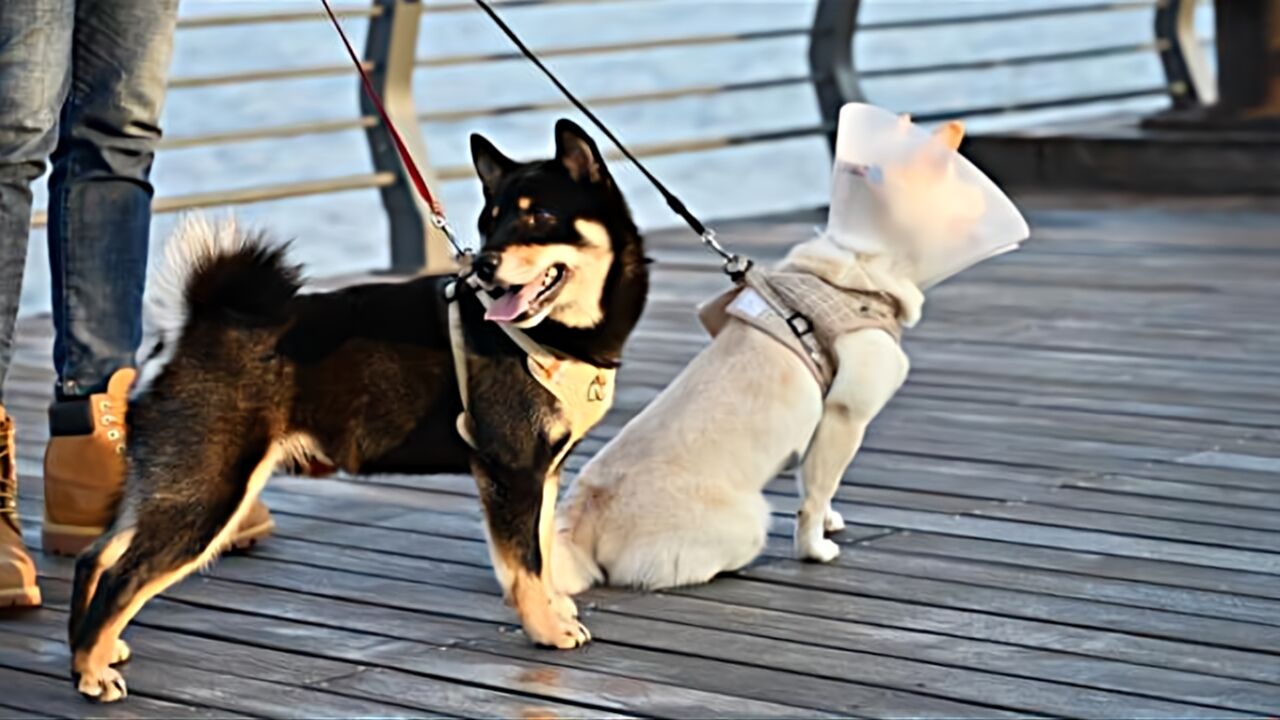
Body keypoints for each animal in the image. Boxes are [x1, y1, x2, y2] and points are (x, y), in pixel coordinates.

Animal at [64, 120, 645, 696]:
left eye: (539, 216)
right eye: (490, 223)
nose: (483, 265)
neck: (551, 335)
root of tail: (194, 328)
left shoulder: (539, 472)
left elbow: (540, 552)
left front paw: (554, 609)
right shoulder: (513, 470)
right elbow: (525, 565)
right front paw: (545, 628)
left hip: (172, 483)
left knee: (98, 555)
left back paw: (90, 652)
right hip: (210, 492)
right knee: (123, 575)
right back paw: (92, 671)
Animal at [552, 119, 977, 589]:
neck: (855, 270)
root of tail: (584, 517)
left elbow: (816, 488)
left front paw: (829, 522)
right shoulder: (845, 418)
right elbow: (816, 496)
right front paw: (815, 549)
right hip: (749, 521)